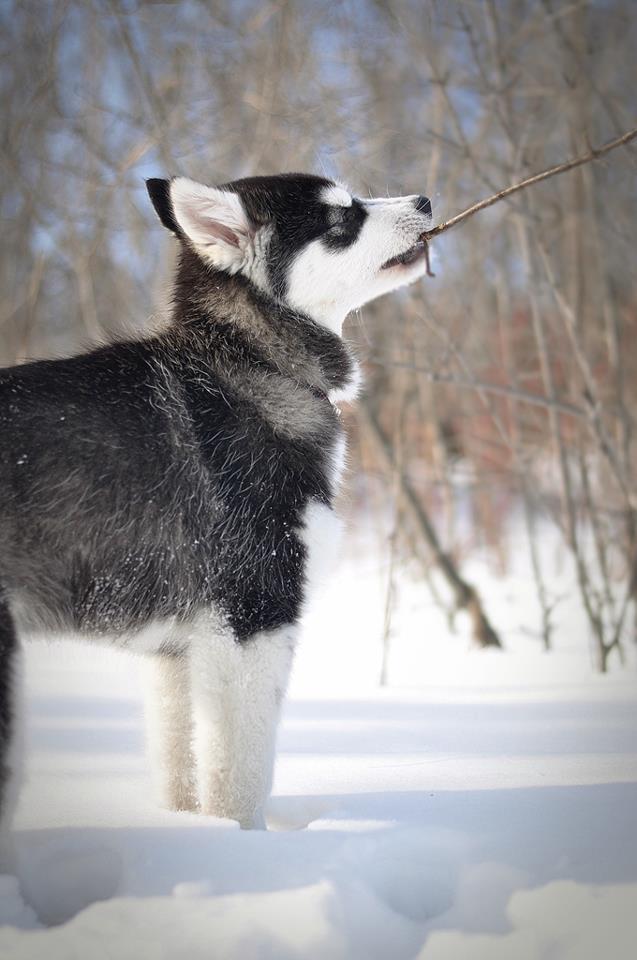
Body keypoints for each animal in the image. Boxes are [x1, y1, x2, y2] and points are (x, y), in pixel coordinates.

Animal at [0, 171, 432, 856]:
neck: (252, 365)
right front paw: (247, 855)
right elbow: (242, 774)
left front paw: (186, 835)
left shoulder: (176, 651)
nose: (425, 201)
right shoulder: (254, 619)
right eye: (341, 219)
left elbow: (178, 766)